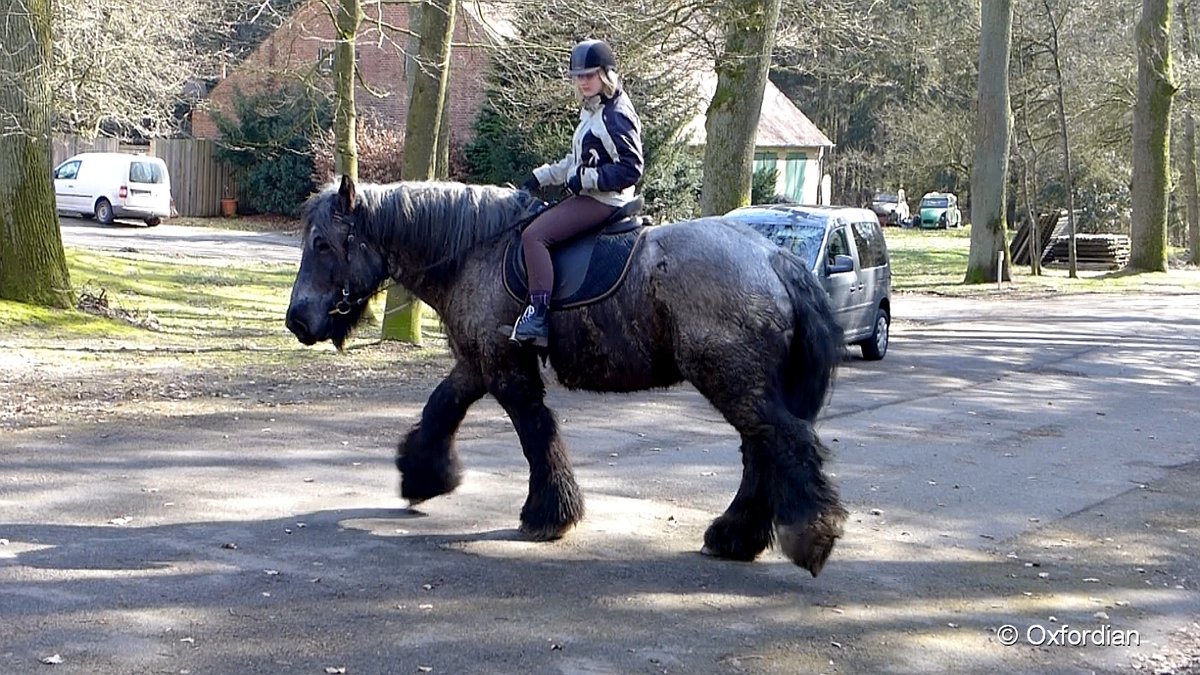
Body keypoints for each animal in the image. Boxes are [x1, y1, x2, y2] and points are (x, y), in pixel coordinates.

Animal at [282, 174, 849, 571]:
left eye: (323, 244)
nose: (296, 320)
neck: (476, 251)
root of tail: (775, 259)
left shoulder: (505, 365)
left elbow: (536, 432)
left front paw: (549, 514)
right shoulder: (478, 360)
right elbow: (442, 406)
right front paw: (423, 474)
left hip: (731, 378)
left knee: (784, 442)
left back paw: (809, 533)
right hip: (745, 381)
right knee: (761, 450)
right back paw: (735, 536)